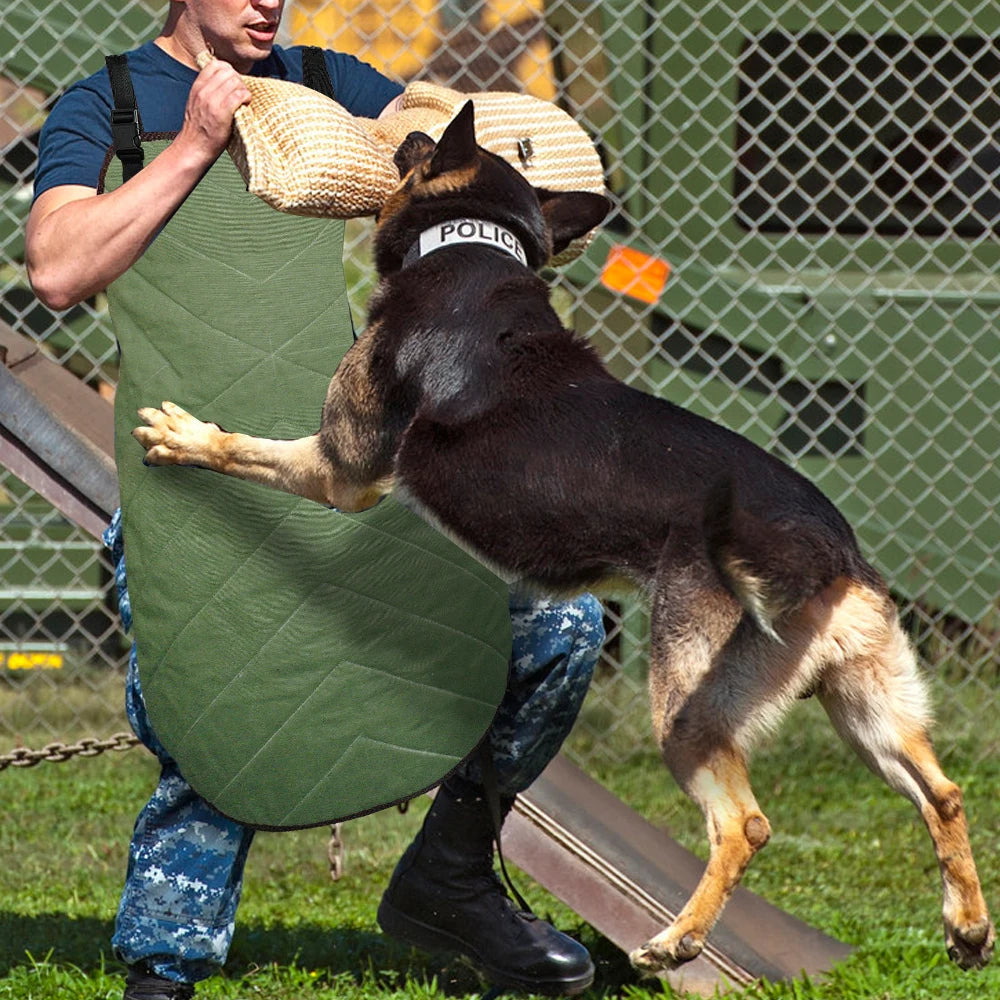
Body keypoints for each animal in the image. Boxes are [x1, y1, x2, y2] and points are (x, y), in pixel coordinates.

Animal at [135, 103, 992, 976]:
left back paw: (677, 941)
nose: (405, 130)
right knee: (945, 792)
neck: (472, 245)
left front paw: (185, 437)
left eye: (423, 148)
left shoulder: (343, 470)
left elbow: (250, 450)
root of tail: (828, 552)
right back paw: (966, 927)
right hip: (866, 706)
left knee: (745, 824)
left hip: (688, 707)